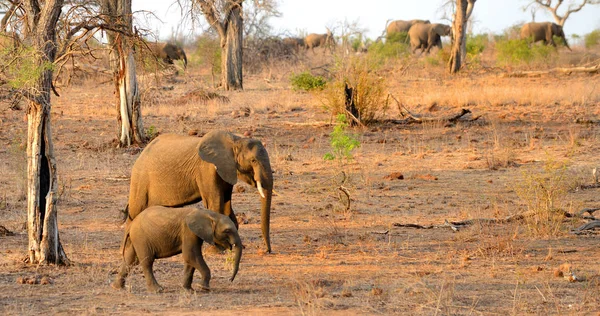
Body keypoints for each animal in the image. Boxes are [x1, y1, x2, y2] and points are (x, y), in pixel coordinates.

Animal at [111, 206, 243, 292]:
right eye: (227, 231)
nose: (230, 280)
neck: (208, 214)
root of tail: (131, 224)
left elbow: (190, 259)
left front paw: (188, 290)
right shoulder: (188, 231)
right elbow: (191, 255)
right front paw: (203, 288)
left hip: (137, 238)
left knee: (130, 261)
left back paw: (117, 287)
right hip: (141, 237)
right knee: (146, 261)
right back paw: (158, 290)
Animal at [127, 130, 276, 253]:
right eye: (253, 160)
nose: (267, 250)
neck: (235, 140)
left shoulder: (227, 170)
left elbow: (226, 204)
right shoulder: (206, 169)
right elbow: (215, 202)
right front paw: (218, 250)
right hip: (140, 180)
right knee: (134, 212)